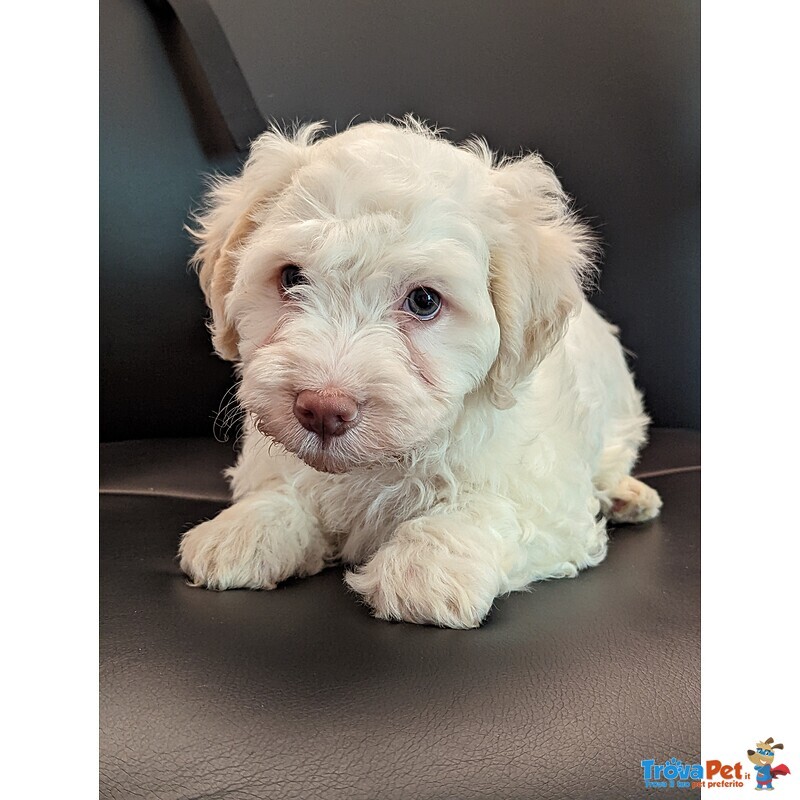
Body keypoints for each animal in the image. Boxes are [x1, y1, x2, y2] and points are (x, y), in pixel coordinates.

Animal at [180, 120, 664, 632]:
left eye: (424, 301)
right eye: (291, 277)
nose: (322, 409)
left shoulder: (547, 496)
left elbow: (493, 506)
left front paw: (425, 568)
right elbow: (285, 484)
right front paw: (244, 529)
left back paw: (627, 495)